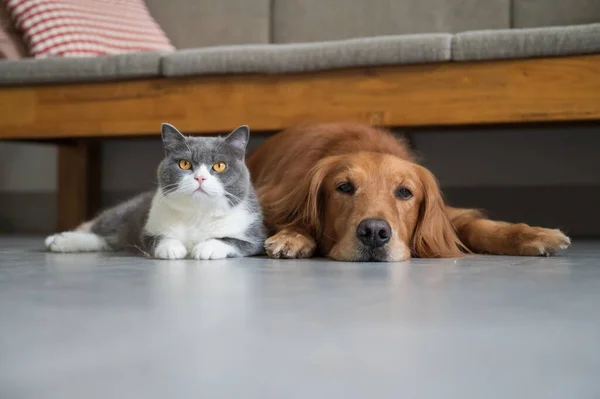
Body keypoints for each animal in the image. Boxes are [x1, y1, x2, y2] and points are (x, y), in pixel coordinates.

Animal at [44, 123, 264, 260]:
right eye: (184, 164)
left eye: (219, 166)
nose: (200, 178)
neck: (197, 214)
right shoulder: (150, 226)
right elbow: (156, 238)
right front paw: (172, 248)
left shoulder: (255, 234)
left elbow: (235, 241)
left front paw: (207, 247)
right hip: (126, 212)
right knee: (102, 228)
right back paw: (58, 239)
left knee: (107, 241)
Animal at [248, 123, 572, 264]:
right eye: (344, 187)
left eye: (405, 192)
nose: (374, 232)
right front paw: (294, 237)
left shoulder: (445, 217)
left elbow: (479, 226)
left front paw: (535, 234)